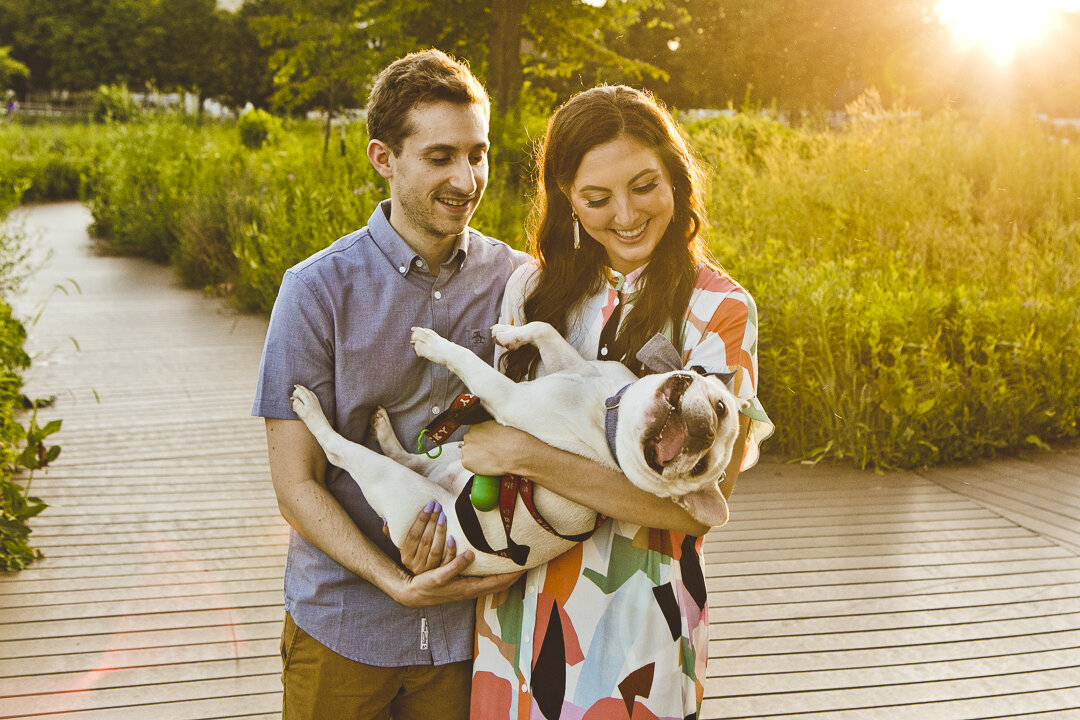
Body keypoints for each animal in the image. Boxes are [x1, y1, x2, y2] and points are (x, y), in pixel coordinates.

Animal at [287, 323, 747, 578]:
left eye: (700, 468)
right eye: (721, 407)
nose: (703, 435)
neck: (609, 414)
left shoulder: (508, 398)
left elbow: (471, 363)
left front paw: (434, 344)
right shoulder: (573, 365)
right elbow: (546, 330)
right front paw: (508, 334)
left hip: (398, 487)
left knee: (347, 455)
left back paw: (312, 413)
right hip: (451, 452)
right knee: (412, 456)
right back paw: (384, 429)